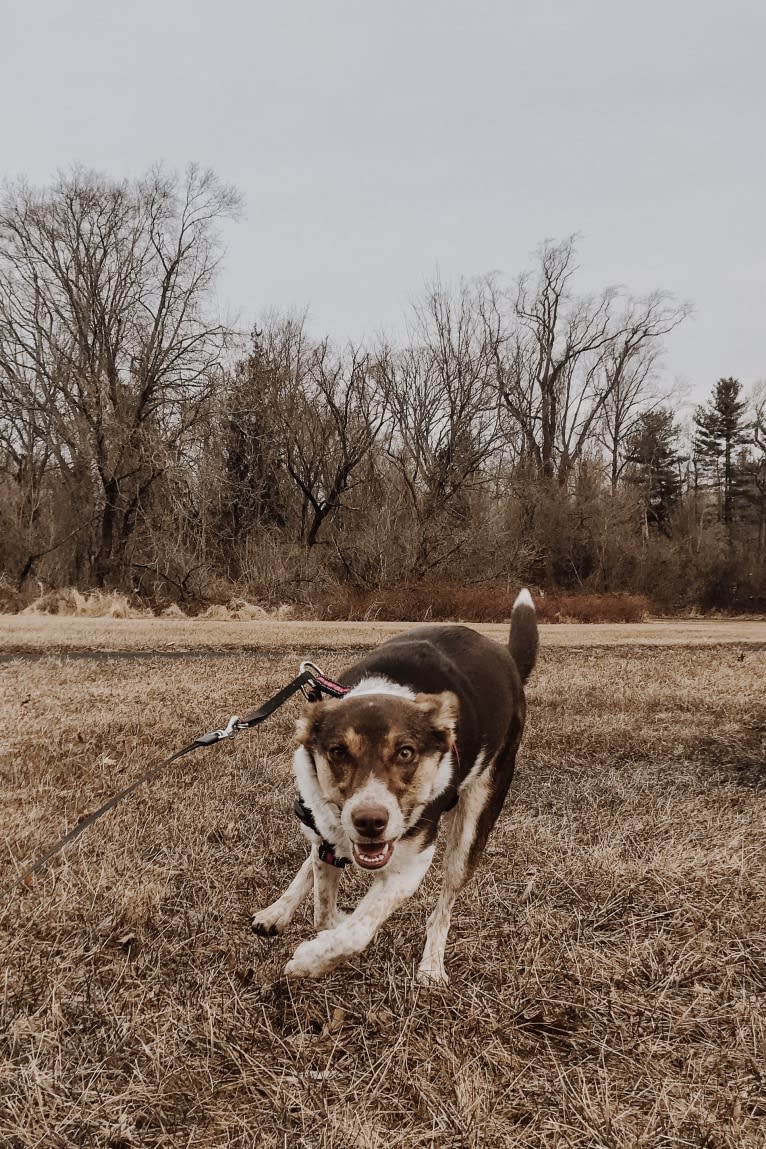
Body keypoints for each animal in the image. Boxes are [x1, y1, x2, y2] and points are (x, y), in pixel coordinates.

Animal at [252, 588, 539, 983]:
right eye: (338, 752)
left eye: (406, 753)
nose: (370, 822)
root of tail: (507, 657)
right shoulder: (326, 831)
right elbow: (324, 910)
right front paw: (323, 927)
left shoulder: (411, 863)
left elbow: (355, 930)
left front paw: (310, 959)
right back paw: (277, 911)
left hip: (475, 821)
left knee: (445, 903)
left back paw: (432, 964)